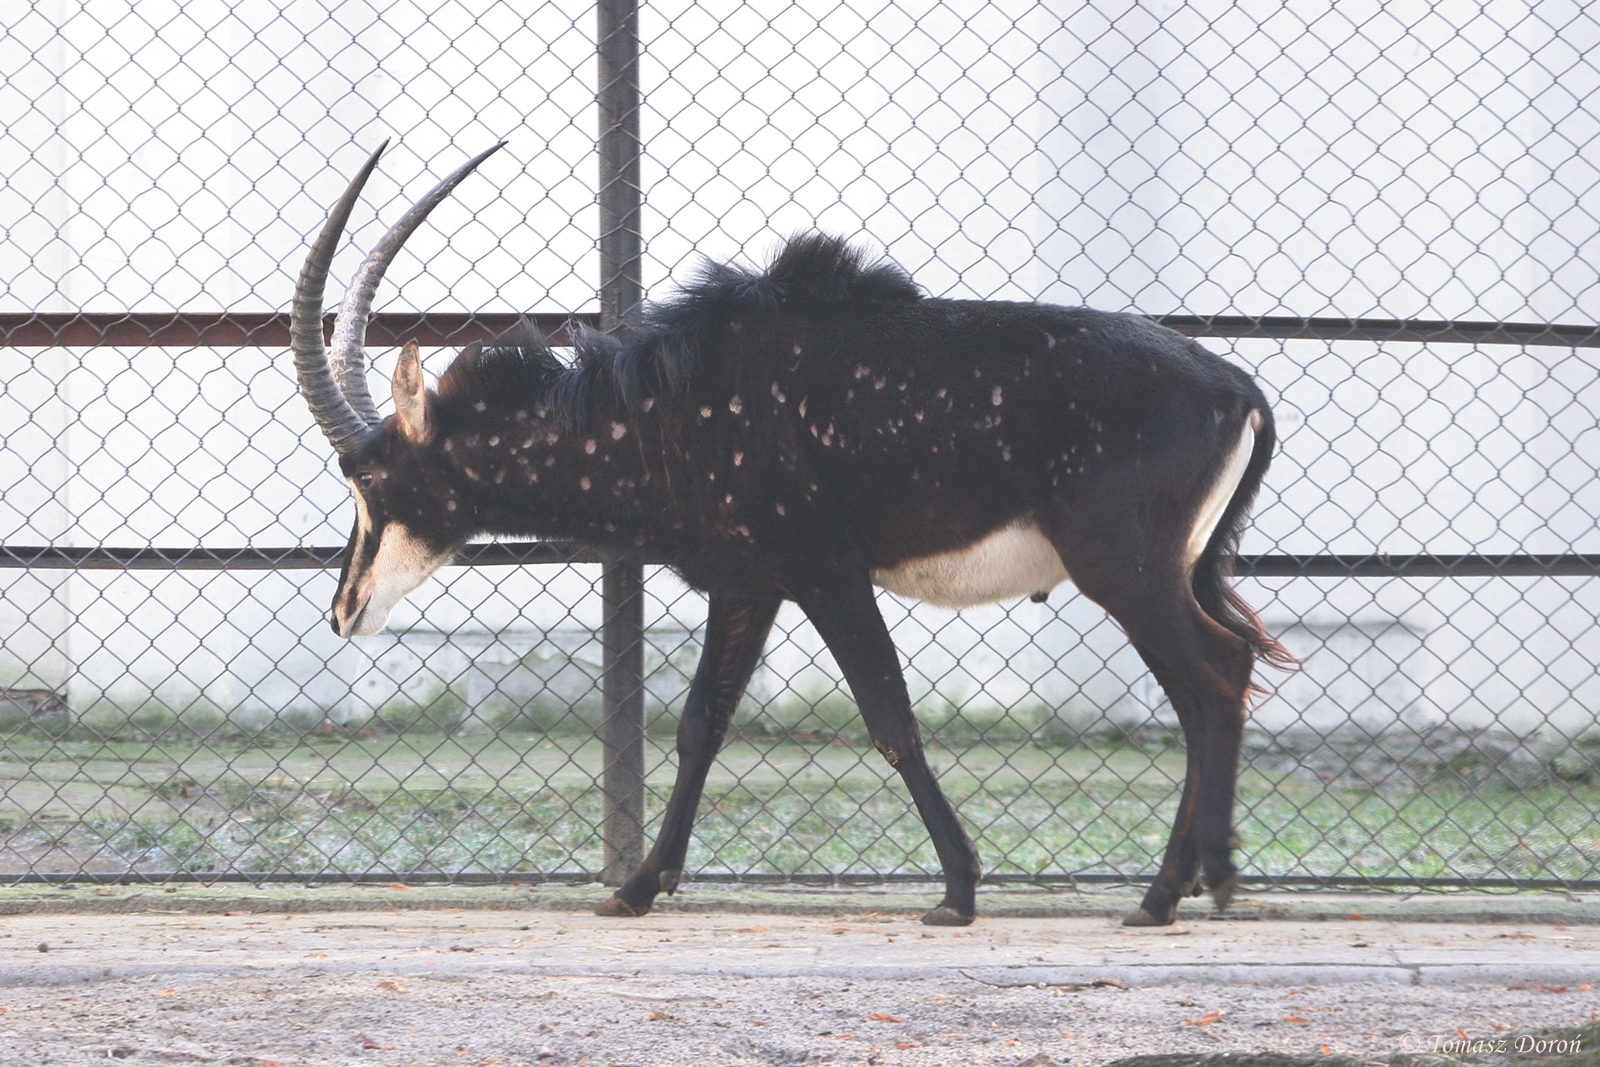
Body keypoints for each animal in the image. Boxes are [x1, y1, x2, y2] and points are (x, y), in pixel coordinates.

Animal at [290, 143, 1290, 927]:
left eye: (369, 478)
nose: (344, 610)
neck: (668, 406)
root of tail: (1237, 388)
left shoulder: (825, 571)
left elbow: (890, 717)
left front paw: (958, 889)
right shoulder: (749, 583)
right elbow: (700, 723)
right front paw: (639, 886)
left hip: (1125, 568)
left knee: (1211, 679)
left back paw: (1185, 888)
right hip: (1171, 570)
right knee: (1218, 677)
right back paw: (1179, 887)